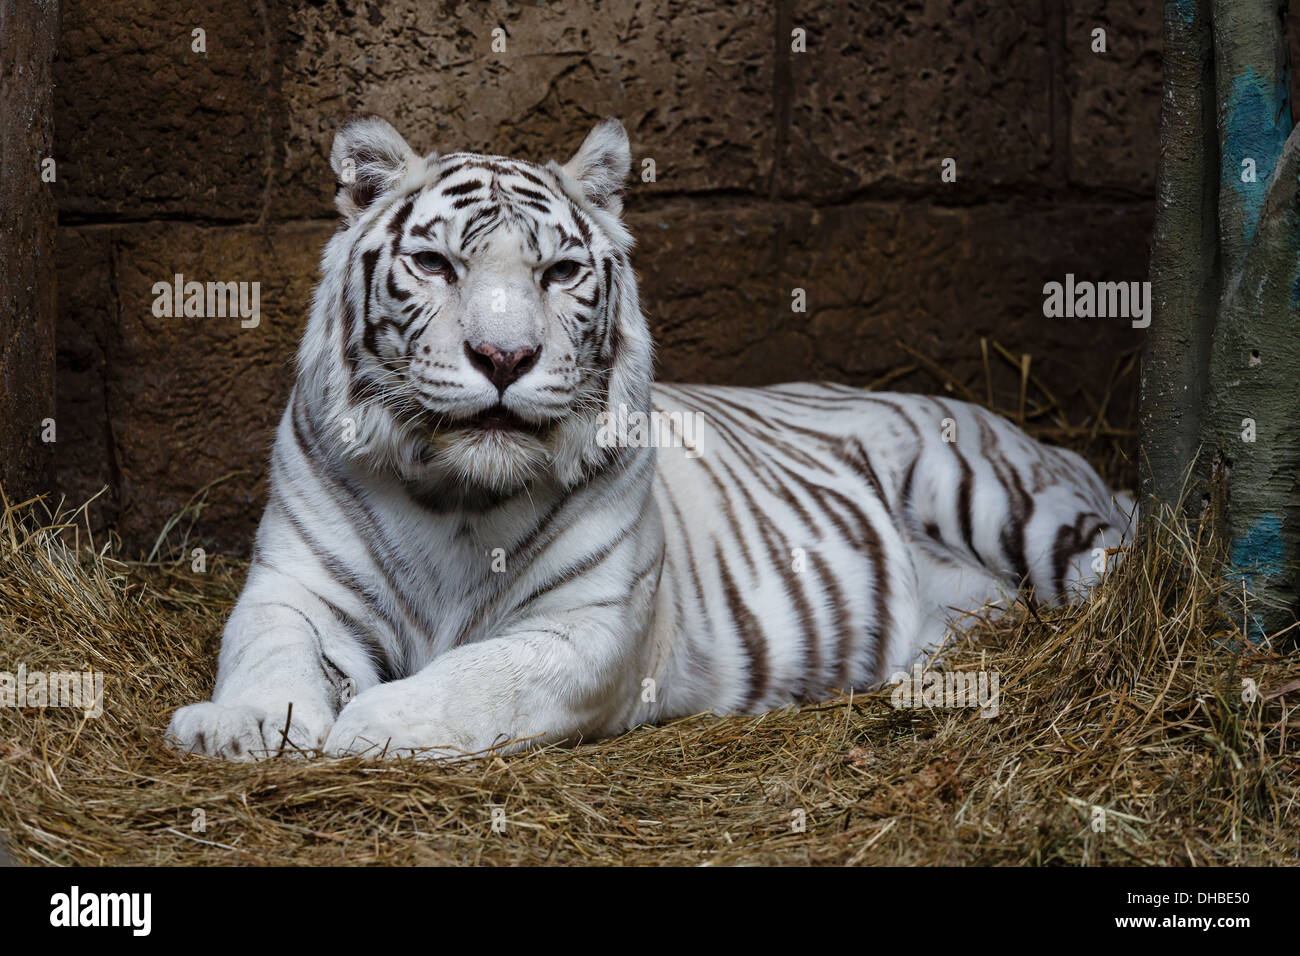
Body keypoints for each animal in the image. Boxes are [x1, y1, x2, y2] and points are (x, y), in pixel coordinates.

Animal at [165, 115, 1133, 760]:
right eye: (435, 264)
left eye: (559, 272)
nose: (505, 356)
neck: (457, 495)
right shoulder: (292, 587)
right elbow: (265, 651)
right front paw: (238, 726)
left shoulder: (592, 627)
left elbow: (482, 677)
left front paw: (372, 724)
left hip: (998, 496)